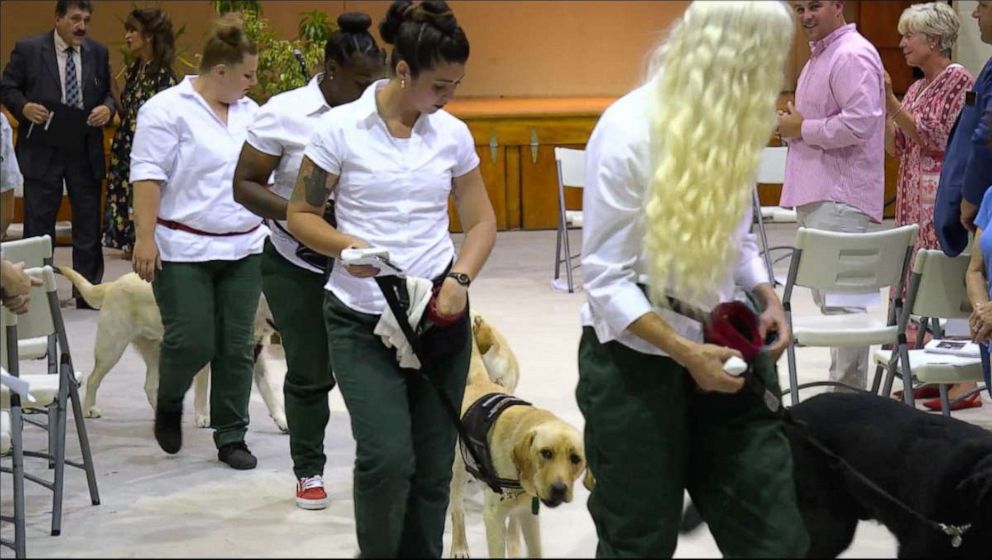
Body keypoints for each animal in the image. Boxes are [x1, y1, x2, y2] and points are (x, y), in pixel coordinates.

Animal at [59, 266, 286, 434]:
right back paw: (89, 409)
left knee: (149, 385)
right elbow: (202, 391)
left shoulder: (255, 361)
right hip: (112, 348)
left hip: (155, 351)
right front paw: (203, 417)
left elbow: (270, 393)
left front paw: (282, 420)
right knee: (93, 379)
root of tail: (112, 284)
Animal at [450, 316, 588, 556]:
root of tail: (481, 381)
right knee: (457, 509)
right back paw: (459, 546)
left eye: (575, 459)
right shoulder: (493, 516)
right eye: (545, 453)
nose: (559, 489)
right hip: (458, 471)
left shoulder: (527, 513)